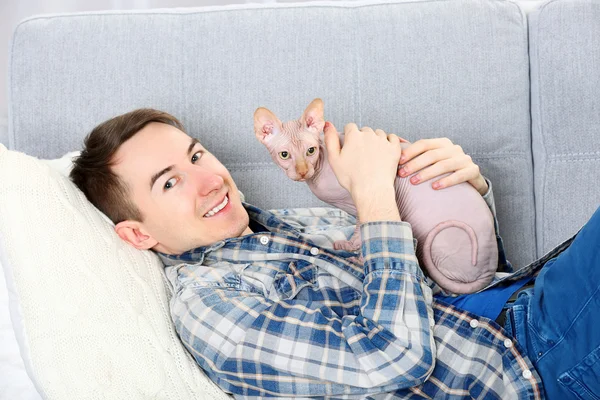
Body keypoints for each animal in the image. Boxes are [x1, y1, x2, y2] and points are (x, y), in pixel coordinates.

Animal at [253, 99, 496, 294]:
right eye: (285, 155)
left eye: (310, 151)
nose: (302, 171)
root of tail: (490, 268)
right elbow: (359, 228)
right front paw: (350, 245)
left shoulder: (359, 196)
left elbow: (364, 229)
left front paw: (358, 255)